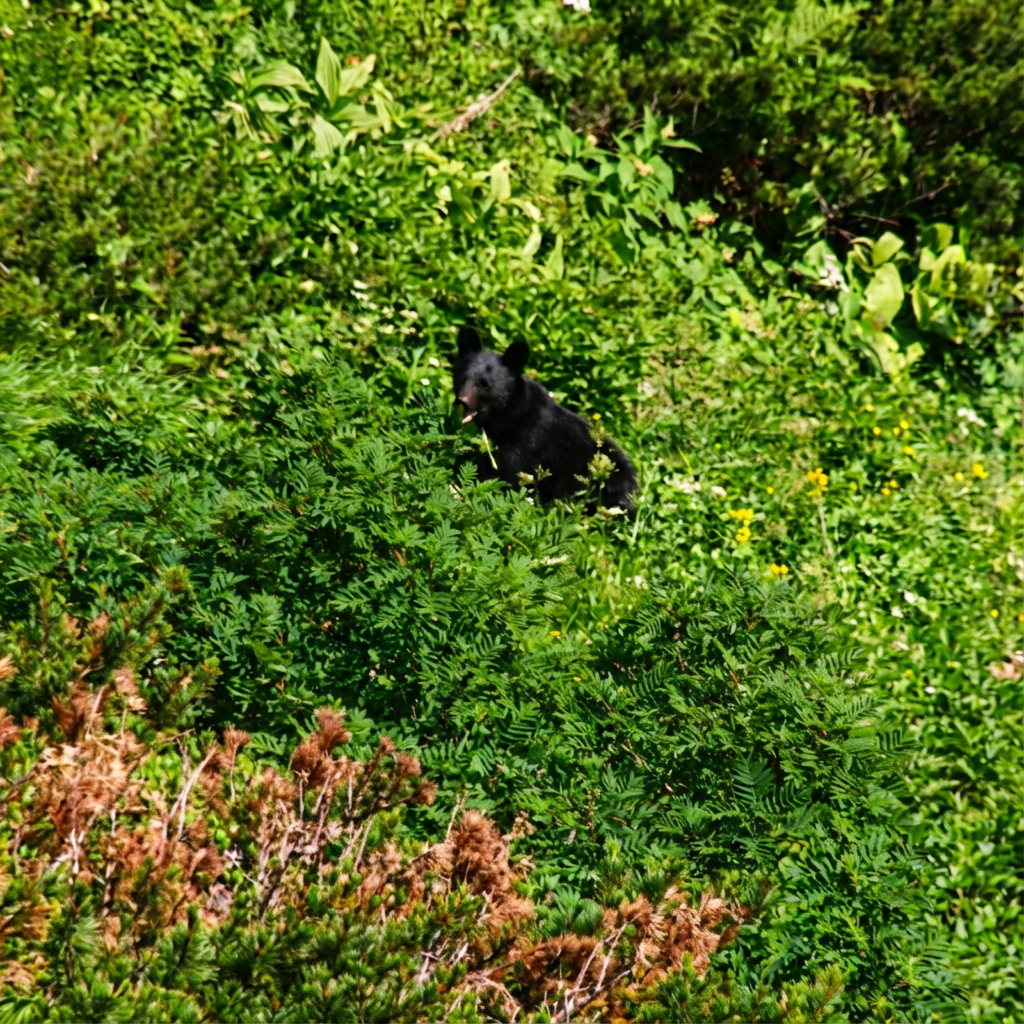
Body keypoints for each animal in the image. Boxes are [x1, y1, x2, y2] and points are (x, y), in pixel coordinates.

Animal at [451, 326, 638, 510]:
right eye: (461, 376)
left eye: (484, 384)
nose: (462, 401)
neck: (510, 414)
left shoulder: (527, 441)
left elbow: (509, 473)